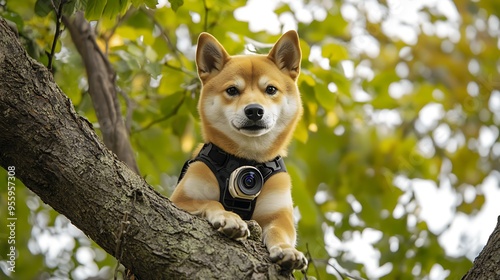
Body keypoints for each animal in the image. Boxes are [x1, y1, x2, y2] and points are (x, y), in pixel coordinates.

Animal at [170, 30, 306, 272]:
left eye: (271, 89)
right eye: (232, 90)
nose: (254, 110)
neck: (246, 160)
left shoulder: (278, 215)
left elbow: (278, 232)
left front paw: (286, 250)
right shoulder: (181, 199)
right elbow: (212, 202)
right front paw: (230, 218)